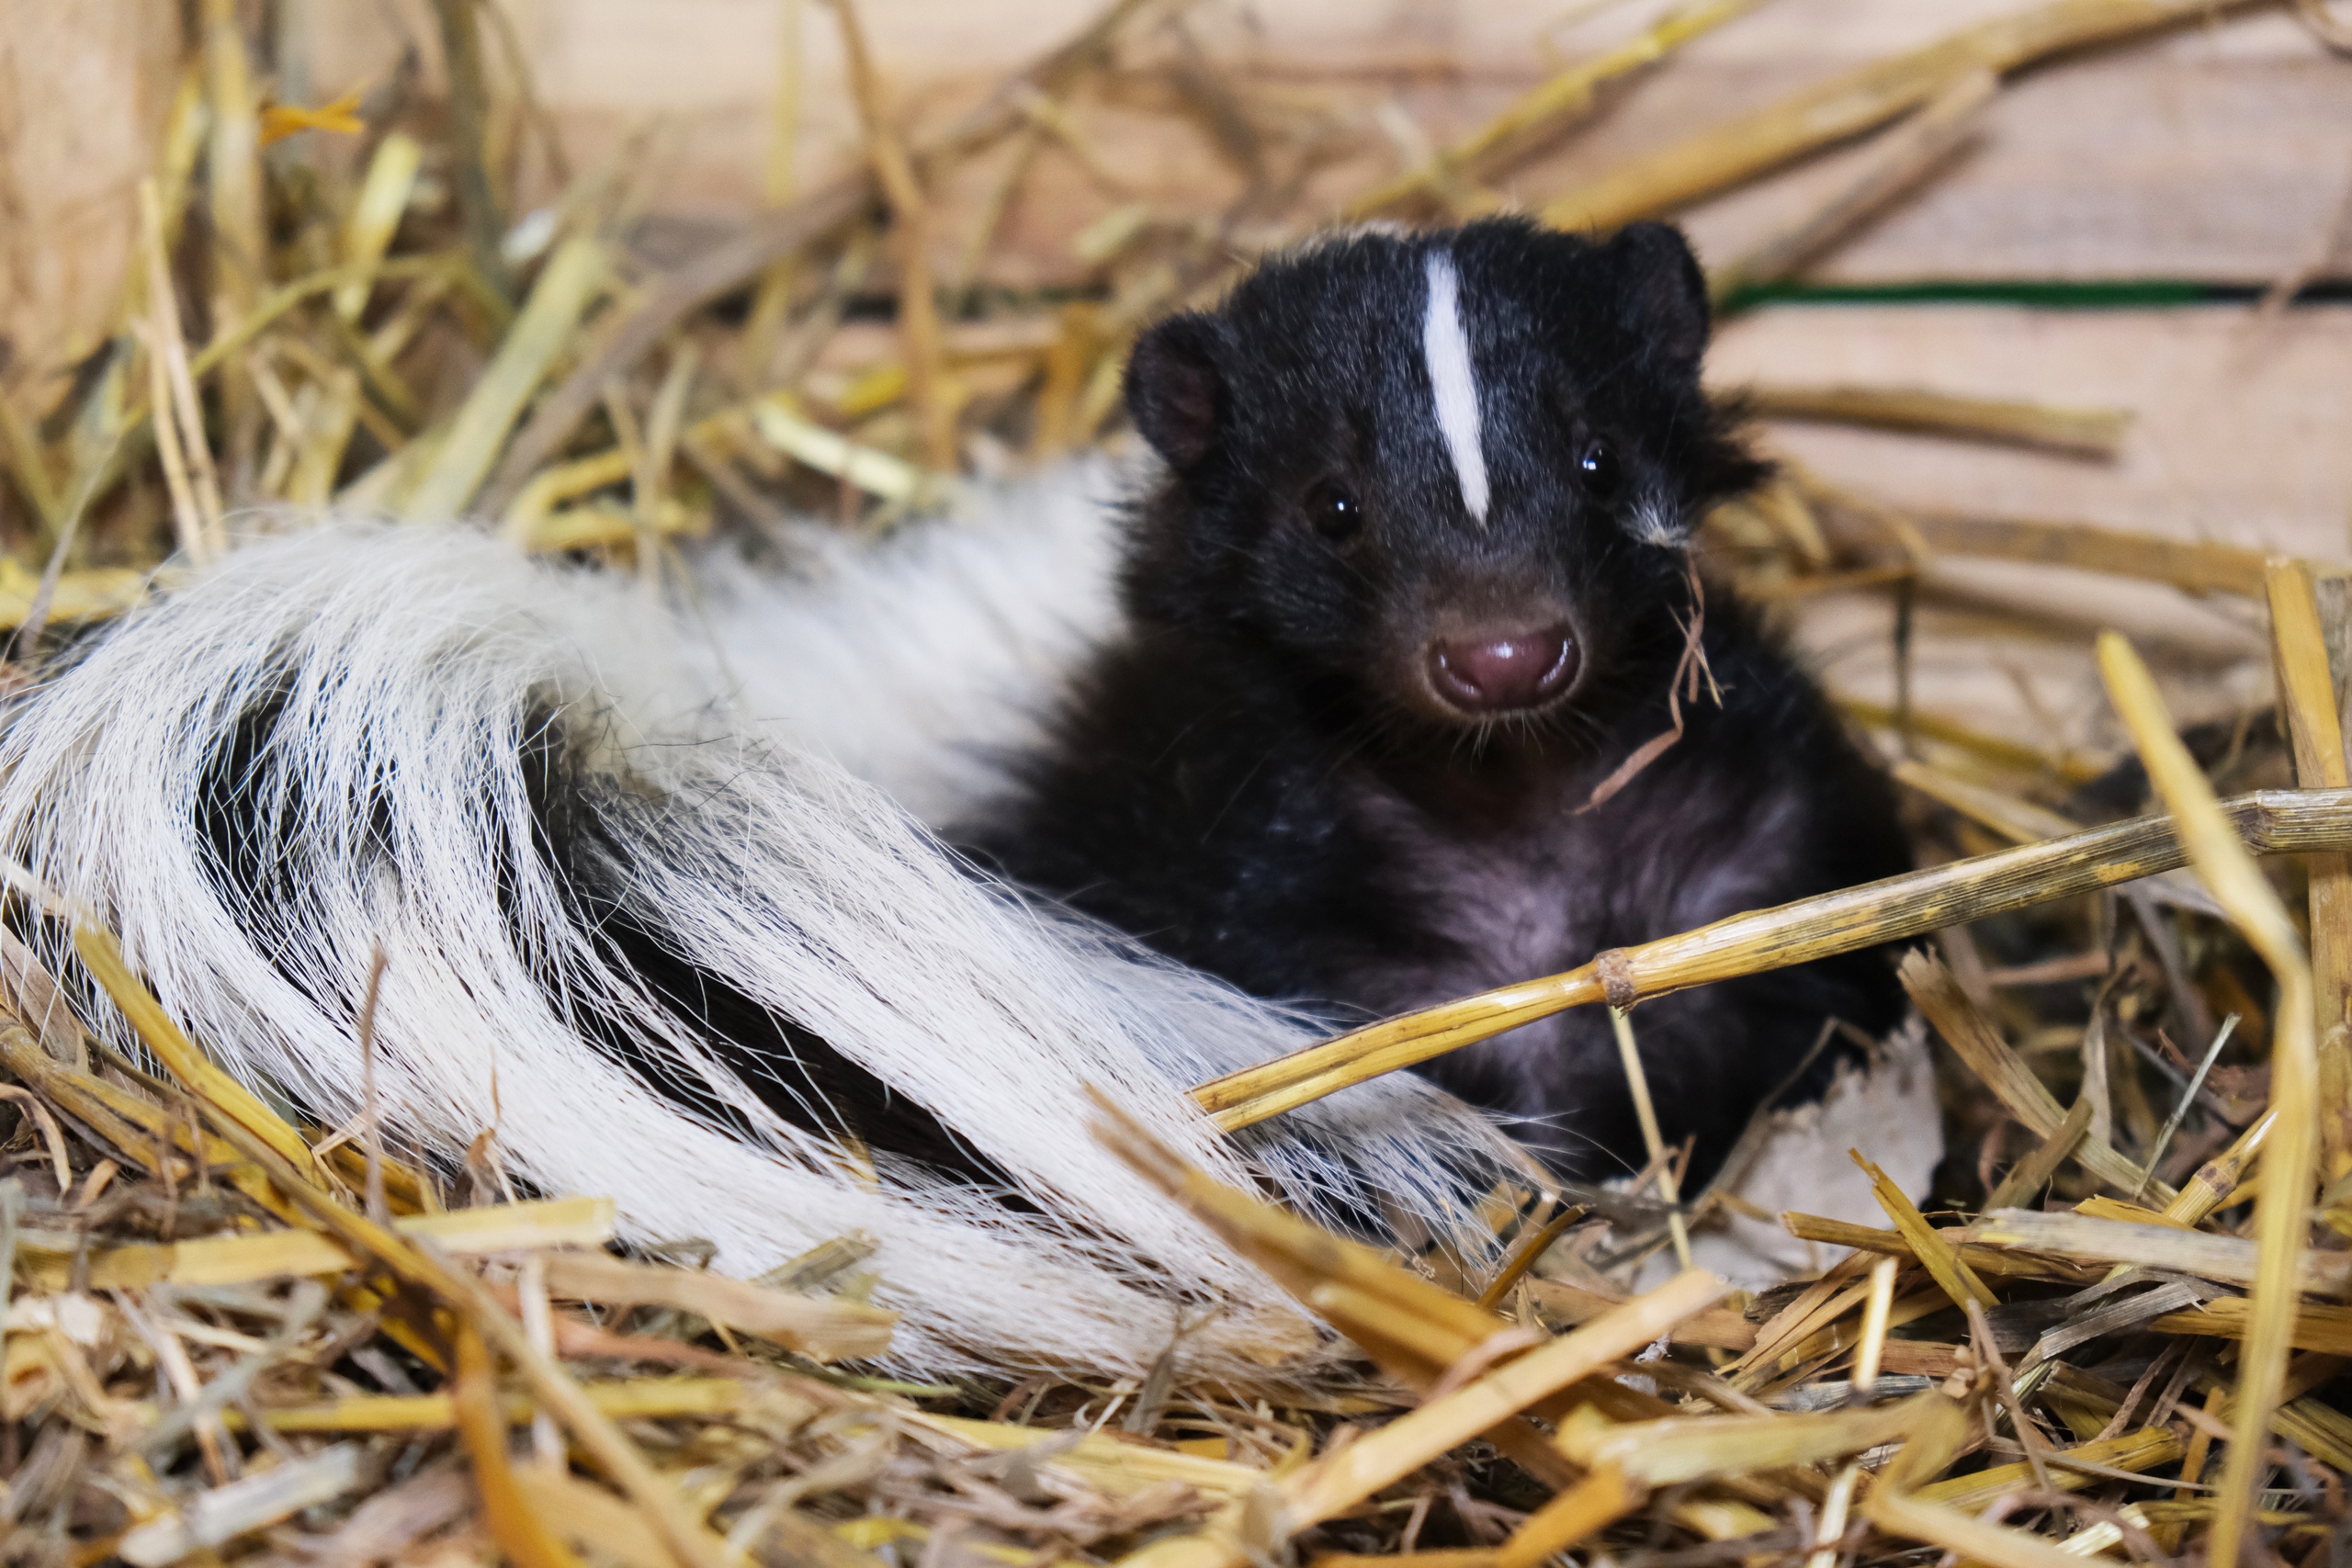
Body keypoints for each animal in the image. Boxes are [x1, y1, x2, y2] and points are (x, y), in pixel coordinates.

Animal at [964, 215, 1918, 1184]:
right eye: (1333, 505)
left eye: (1600, 461)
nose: (1503, 656)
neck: (1517, 791)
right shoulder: (1260, 898)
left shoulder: (1761, 832)